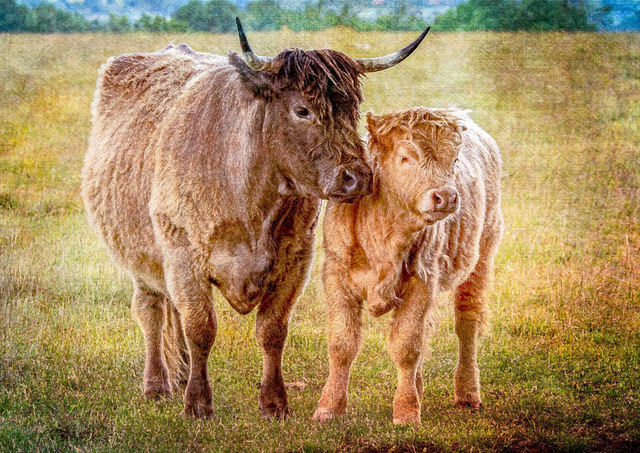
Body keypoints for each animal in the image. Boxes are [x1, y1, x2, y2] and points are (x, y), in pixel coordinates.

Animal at [81, 19, 430, 420]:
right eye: (302, 110)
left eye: (353, 109)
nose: (358, 177)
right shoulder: (183, 255)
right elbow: (200, 327)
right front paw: (198, 403)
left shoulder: (295, 259)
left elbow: (272, 330)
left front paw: (274, 402)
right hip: (139, 257)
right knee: (151, 310)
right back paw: (157, 383)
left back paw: (181, 372)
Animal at [313, 107, 503, 424]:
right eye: (405, 158)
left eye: (453, 160)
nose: (446, 196)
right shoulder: (336, 276)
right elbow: (342, 344)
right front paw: (328, 408)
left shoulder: (422, 281)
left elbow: (406, 346)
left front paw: (405, 411)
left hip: (481, 258)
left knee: (467, 325)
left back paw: (467, 393)